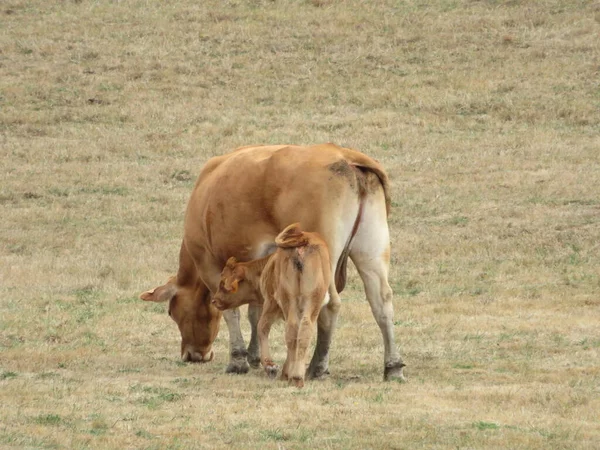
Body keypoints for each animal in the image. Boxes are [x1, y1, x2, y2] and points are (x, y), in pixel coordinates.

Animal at [212, 223, 332, 388]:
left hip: (291, 300)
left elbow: (261, 327)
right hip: (309, 301)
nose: (214, 300)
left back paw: (292, 375)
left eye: (223, 282)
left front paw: (271, 366)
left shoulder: (270, 303)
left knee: (293, 329)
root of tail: (304, 240)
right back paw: (296, 376)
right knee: (301, 329)